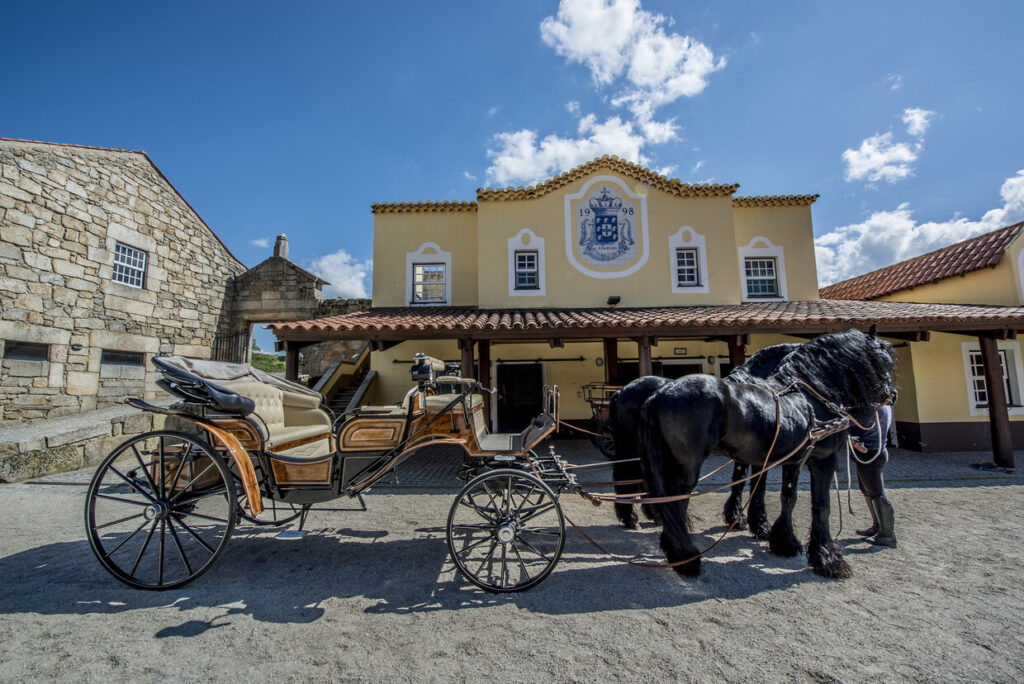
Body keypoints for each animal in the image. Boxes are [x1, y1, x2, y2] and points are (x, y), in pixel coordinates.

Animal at [602, 344, 802, 532]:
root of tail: (621, 391)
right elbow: (748, 481)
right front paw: (749, 521)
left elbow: (739, 479)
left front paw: (736, 517)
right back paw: (636, 517)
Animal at [643, 329, 892, 577]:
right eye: (886, 361)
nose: (891, 395)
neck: (811, 394)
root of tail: (660, 394)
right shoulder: (822, 459)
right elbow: (820, 505)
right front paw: (827, 558)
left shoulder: (787, 460)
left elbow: (785, 496)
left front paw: (782, 540)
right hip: (686, 467)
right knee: (676, 501)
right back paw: (685, 557)